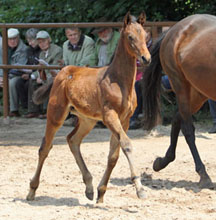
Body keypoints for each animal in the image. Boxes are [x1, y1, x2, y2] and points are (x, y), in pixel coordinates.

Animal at [26, 12, 151, 203]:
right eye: (130, 37)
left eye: (145, 35)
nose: (146, 58)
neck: (118, 80)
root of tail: (61, 73)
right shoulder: (110, 116)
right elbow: (127, 145)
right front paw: (140, 189)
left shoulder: (125, 120)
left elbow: (113, 156)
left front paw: (101, 192)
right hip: (56, 114)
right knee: (45, 147)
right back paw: (32, 190)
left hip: (87, 120)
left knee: (73, 140)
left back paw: (89, 187)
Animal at [142, 13, 216, 189]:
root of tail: (174, 29)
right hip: (181, 85)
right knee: (188, 129)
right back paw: (203, 175)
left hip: (199, 91)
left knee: (177, 118)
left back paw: (162, 161)